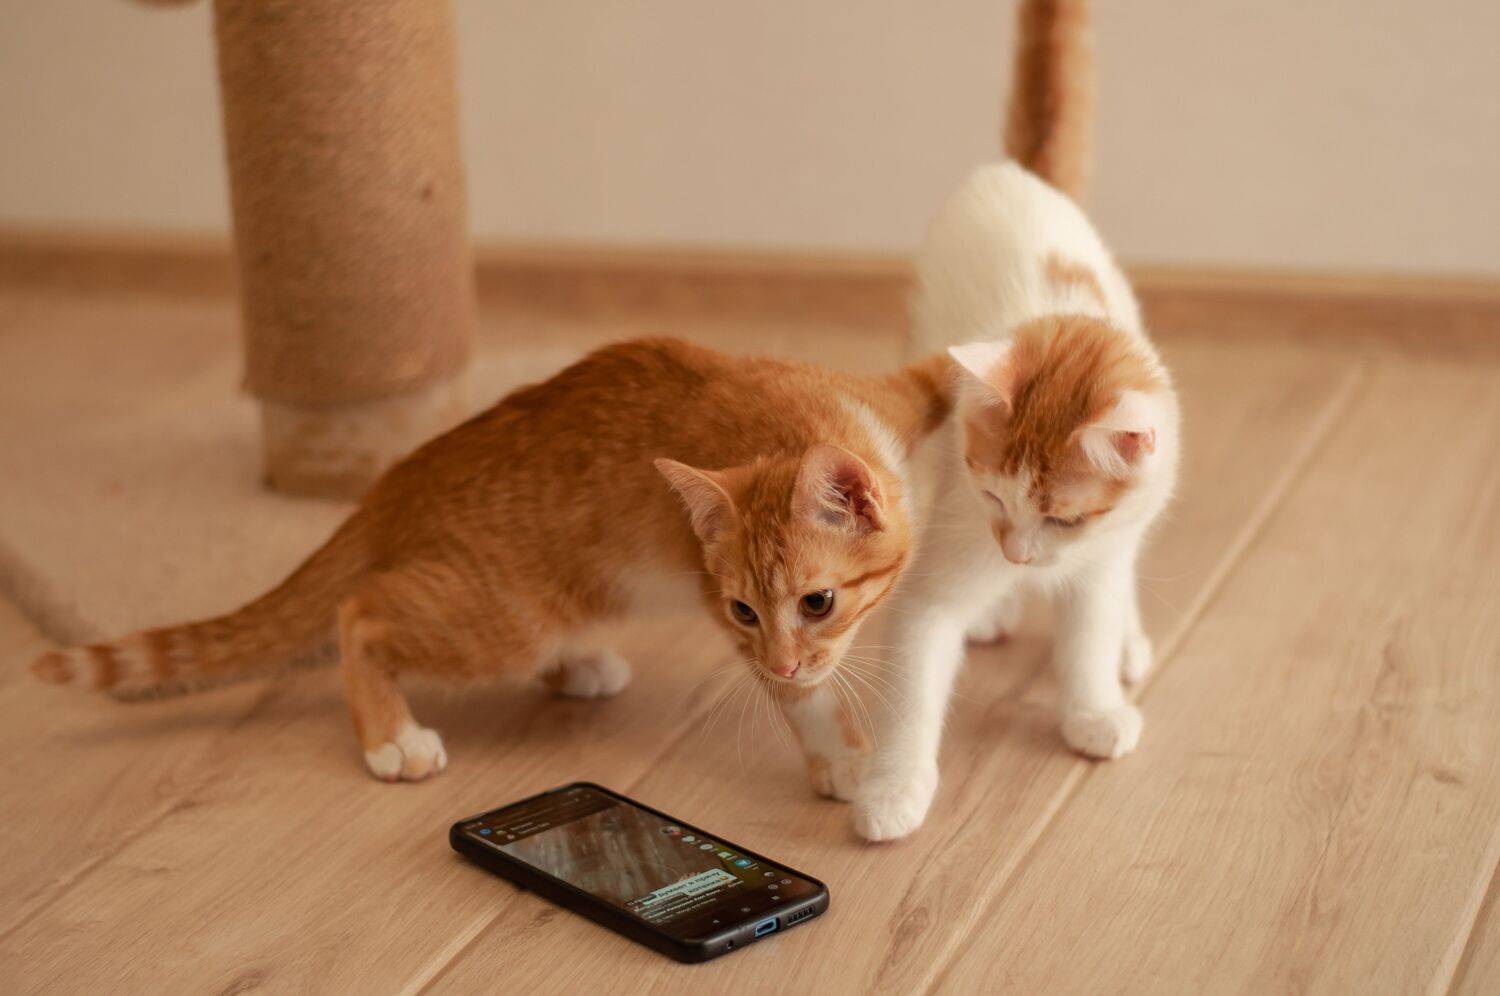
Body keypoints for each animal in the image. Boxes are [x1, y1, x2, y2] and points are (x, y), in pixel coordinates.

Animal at [33, 337, 952, 785]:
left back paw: (579, 666)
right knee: (360, 615)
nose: (785, 656)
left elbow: (942, 370)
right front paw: (848, 763)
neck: (783, 416)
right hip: (499, 620)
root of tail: (397, 478)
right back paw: (390, 737)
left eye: (817, 602)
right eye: (745, 611)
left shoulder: (882, 397)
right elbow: (807, 702)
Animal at [851, 0, 1182, 840]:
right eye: (994, 495)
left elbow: (1089, 628)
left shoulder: (1101, 547)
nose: (1021, 558)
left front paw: (1095, 707)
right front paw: (894, 788)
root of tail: (1015, 174)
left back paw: (1127, 641)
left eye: (1064, 518)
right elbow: (914, 673)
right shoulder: (953, 536)